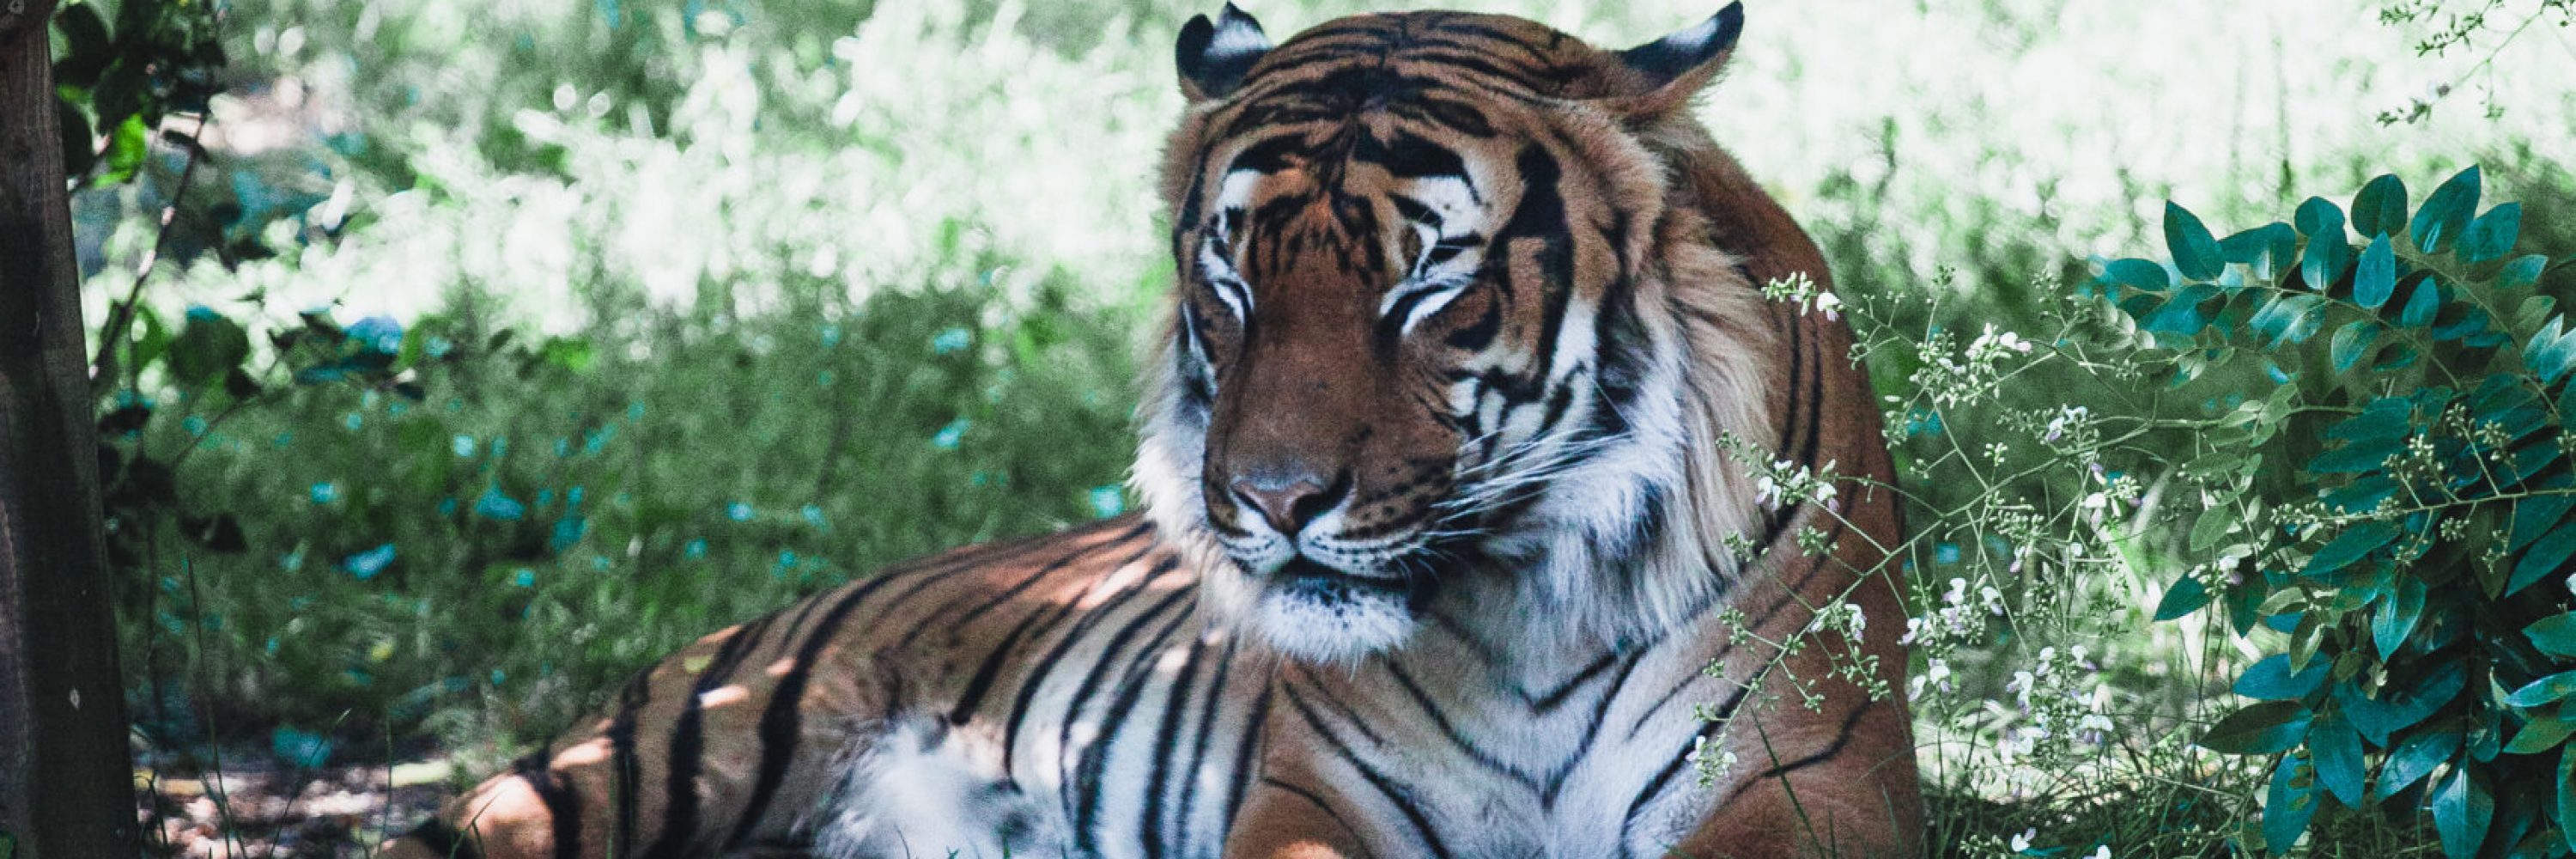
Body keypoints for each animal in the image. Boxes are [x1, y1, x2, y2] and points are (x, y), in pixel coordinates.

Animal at [383, 3, 1921, 858]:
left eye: (1427, 286)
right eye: (1231, 281)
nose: (1273, 501)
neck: (1522, 599)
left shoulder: (1814, 781)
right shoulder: (1316, 796)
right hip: (670, 753)